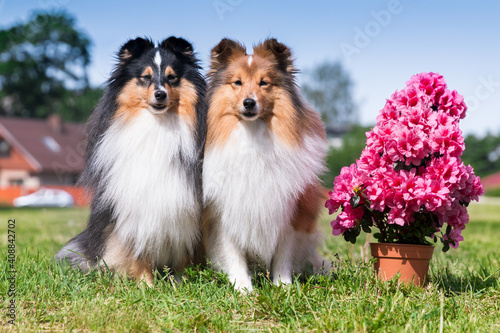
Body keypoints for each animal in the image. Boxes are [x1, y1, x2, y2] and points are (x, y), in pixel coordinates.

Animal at [56, 37, 207, 286]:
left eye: (172, 77)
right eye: (144, 77)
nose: (160, 94)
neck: (157, 127)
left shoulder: (188, 209)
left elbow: (184, 254)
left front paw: (181, 283)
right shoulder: (131, 207)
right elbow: (137, 252)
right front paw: (146, 286)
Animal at [201, 37, 330, 290]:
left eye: (264, 83)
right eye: (237, 82)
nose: (249, 103)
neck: (253, 137)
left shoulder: (289, 211)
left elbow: (283, 254)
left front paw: (283, 286)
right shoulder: (222, 211)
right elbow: (233, 253)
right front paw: (243, 288)